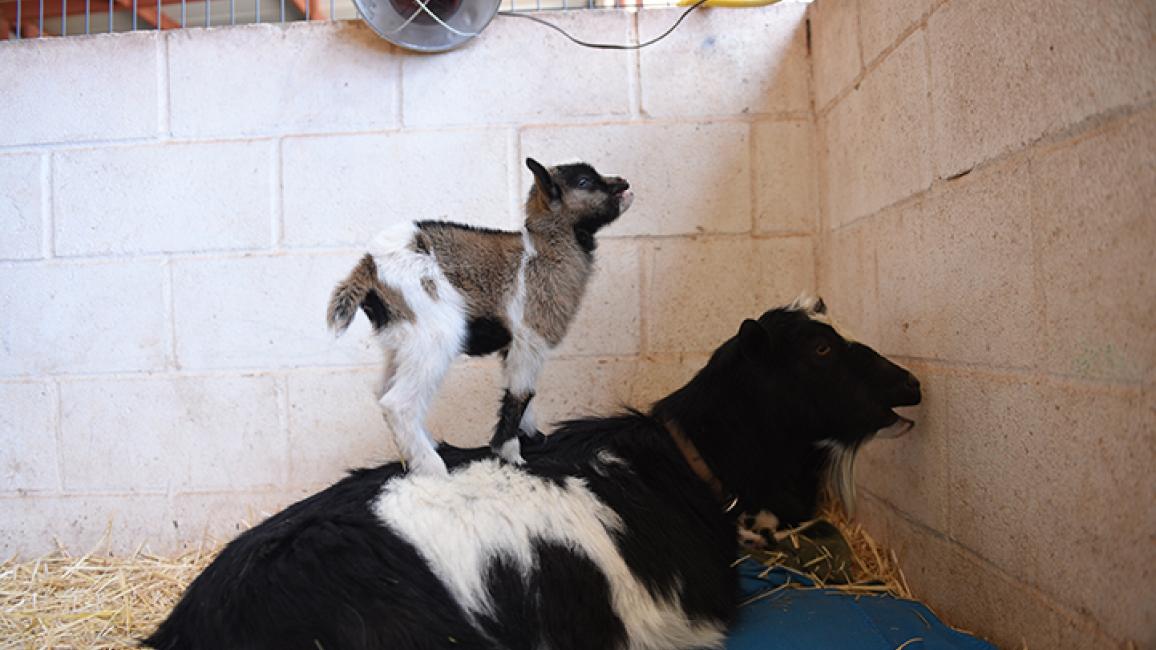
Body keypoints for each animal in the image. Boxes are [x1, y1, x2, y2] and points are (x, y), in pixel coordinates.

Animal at [327, 158, 633, 476]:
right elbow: (520, 393)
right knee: (397, 404)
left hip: (401, 342)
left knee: (382, 391)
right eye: (584, 181)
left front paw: (533, 437)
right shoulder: (530, 338)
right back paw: (434, 468)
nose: (624, 184)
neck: (544, 251)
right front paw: (511, 454)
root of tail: (369, 268)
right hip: (434, 338)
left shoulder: (513, 346)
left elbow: (522, 392)